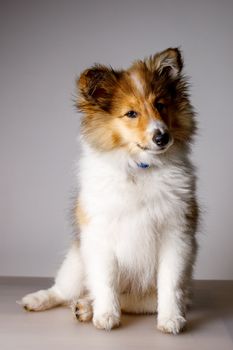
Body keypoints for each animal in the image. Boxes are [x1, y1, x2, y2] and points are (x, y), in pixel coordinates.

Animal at [20, 47, 198, 334]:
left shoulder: (176, 235)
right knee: (65, 290)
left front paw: (171, 320)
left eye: (160, 105)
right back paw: (39, 300)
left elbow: (170, 284)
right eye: (131, 114)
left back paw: (85, 307)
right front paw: (105, 316)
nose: (162, 137)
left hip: (148, 296)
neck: (139, 168)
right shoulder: (99, 233)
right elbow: (106, 281)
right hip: (76, 260)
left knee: (128, 300)